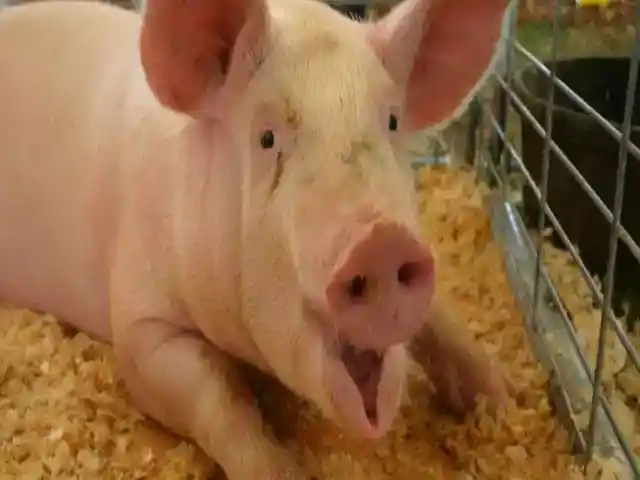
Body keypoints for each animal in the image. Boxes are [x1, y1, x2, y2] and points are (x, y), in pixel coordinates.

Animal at [0, 0, 513, 477]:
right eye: (267, 138)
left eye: (391, 122)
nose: (383, 240)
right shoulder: (140, 321)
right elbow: (219, 394)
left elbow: (440, 319)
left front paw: (502, 401)